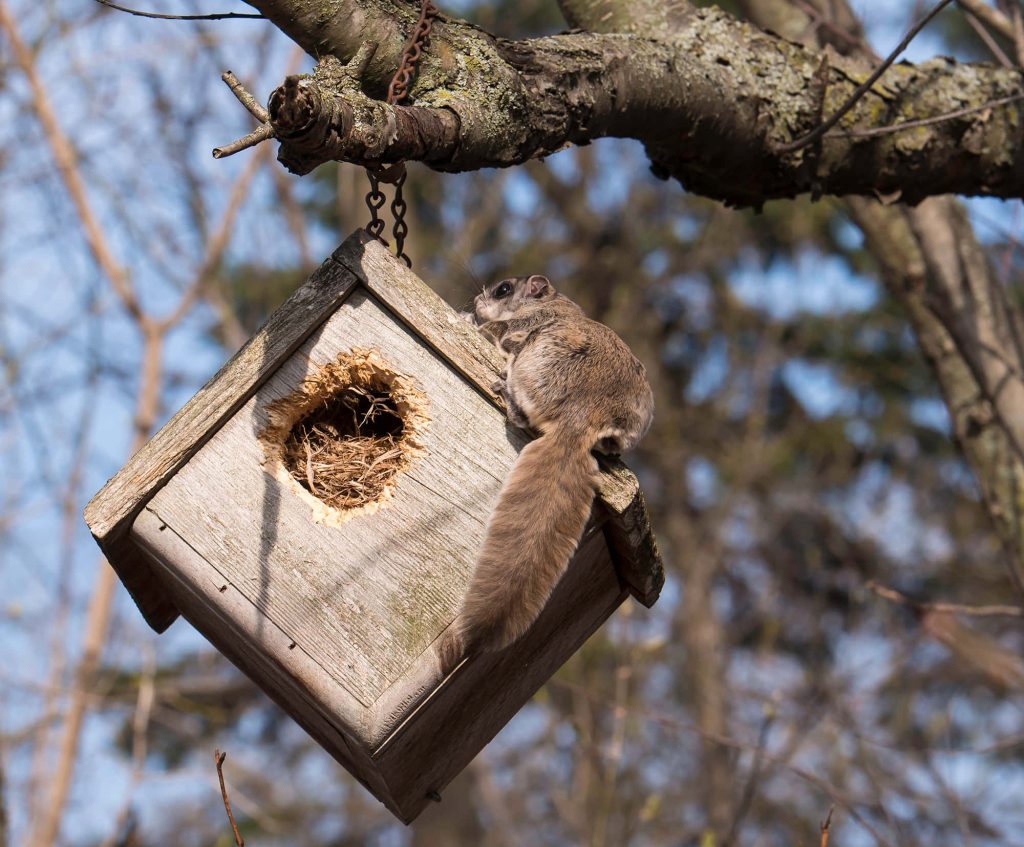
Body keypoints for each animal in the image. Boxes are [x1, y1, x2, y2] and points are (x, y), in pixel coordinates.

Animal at [439, 274, 654, 671]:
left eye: (504, 289)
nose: (477, 300)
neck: (556, 303)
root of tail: (581, 420)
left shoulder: (525, 322)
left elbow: (499, 330)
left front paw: (476, 322)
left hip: (535, 361)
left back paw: (506, 389)